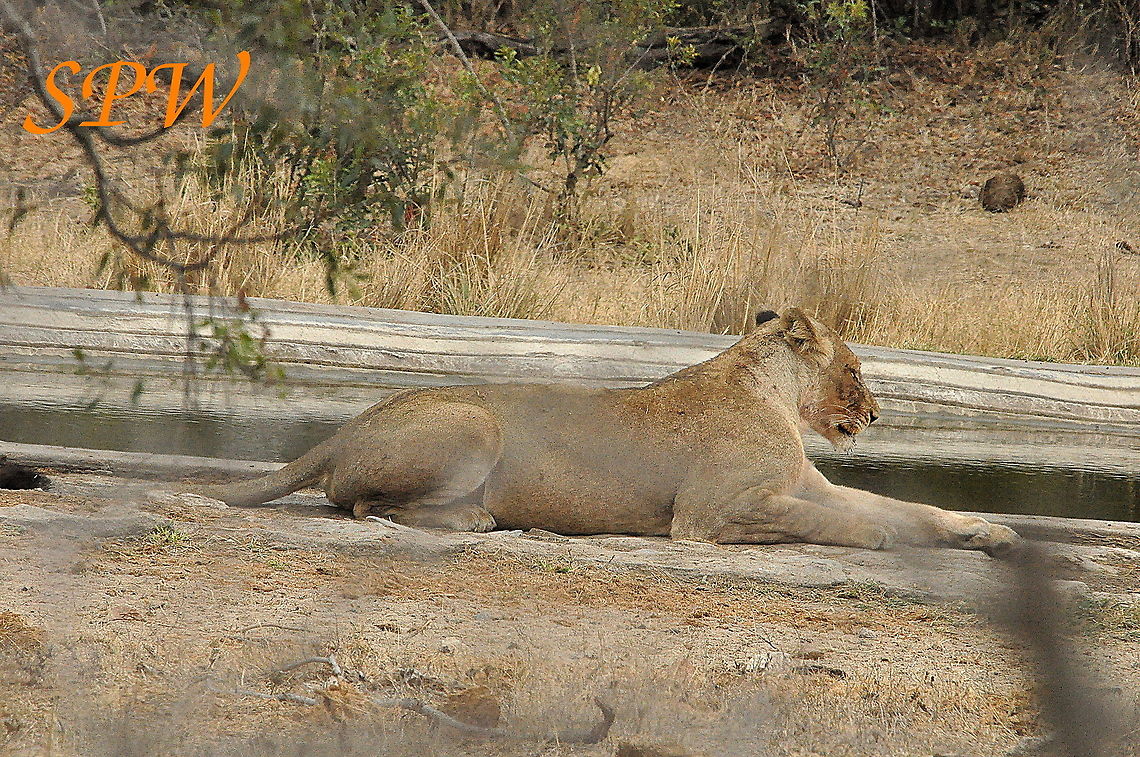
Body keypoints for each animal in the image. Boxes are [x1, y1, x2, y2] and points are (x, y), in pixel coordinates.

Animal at [201, 308, 1020, 556]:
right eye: (853, 368)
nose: (877, 415)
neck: (776, 397)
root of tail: (346, 427)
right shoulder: (707, 516)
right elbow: (837, 521)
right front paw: (878, 537)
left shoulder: (802, 483)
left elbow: (910, 509)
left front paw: (987, 531)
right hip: (472, 420)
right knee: (363, 504)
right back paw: (478, 517)